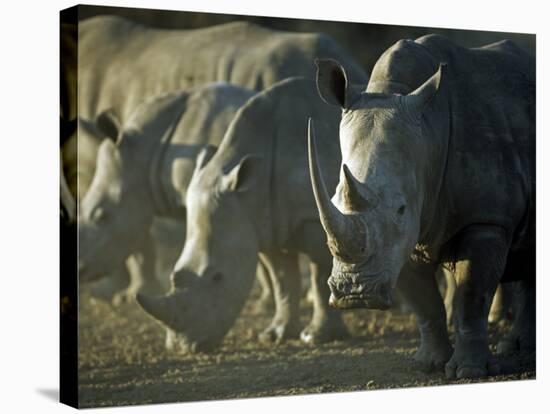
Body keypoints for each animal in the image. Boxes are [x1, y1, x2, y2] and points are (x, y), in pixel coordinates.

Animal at [136, 76, 356, 350]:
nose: (182, 347)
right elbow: (283, 279)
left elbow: (320, 274)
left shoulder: (317, 216)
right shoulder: (267, 223)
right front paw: (276, 335)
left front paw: (318, 337)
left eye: (217, 278)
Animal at [310, 35, 536, 378]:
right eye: (334, 200)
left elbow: (472, 294)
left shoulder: (485, 219)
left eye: (401, 209)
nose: (355, 294)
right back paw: (519, 347)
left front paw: (468, 372)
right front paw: (428, 364)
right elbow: (423, 300)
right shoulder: (405, 234)